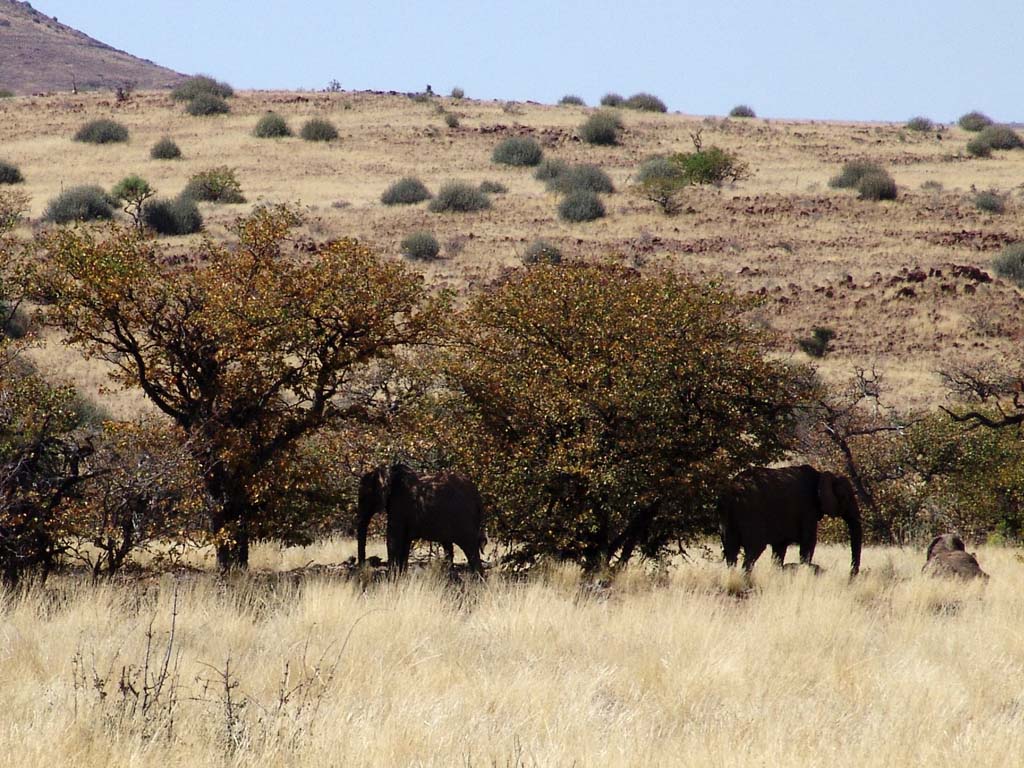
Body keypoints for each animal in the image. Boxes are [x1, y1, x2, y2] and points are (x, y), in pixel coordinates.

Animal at [356, 462, 487, 577]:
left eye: (363, 498)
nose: (363, 569)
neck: (389, 473)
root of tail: (478, 497)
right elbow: (405, 542)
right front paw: (400, 578)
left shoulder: (399, 506)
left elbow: (393, 539)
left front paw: (392, 580)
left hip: (464, 519)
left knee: (470, 549)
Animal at [720, 462, 864, 577]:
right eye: (846, 497)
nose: (851, 576)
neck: (821, 475)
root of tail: (731, 492)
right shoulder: (807, 509)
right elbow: (809, 543)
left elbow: (780, 548)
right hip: (751, 513)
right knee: (753, 550)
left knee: (731, 551)